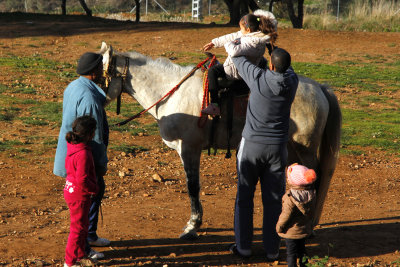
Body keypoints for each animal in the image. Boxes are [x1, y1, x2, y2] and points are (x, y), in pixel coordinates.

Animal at [99, 42, 340, 241]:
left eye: (99, 76)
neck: (173, 93)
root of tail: (318, 87)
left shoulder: (189, 149)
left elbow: (193, 186)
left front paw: (192, 226)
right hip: (291, 148)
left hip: (305, 147)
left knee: (314, 177)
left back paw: (309, 225)